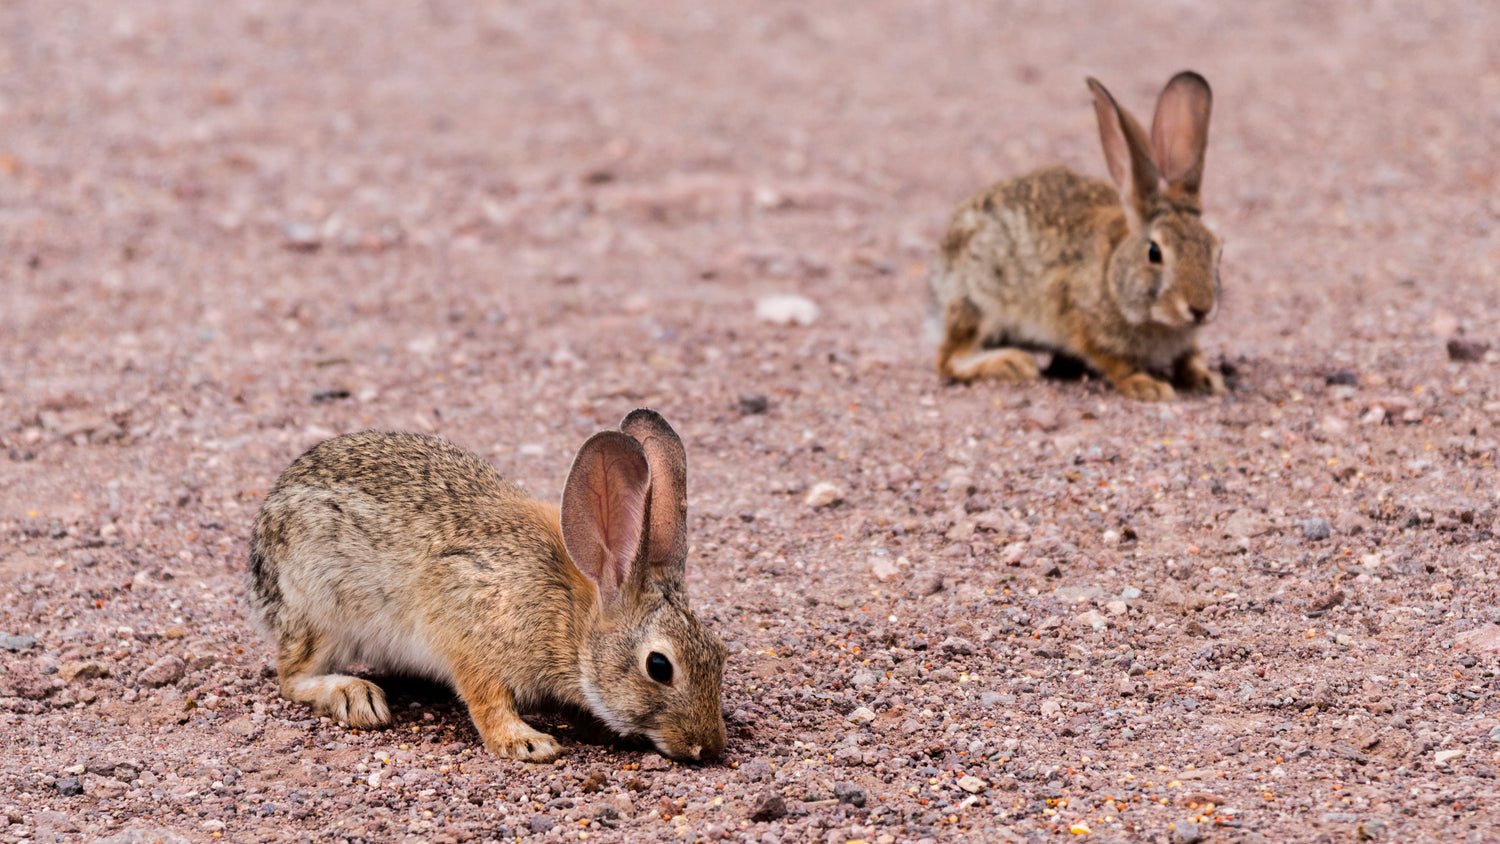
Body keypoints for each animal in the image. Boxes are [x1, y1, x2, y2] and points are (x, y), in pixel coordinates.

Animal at [246, 410, 726, 767]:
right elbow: (487, 700)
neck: (572, 618)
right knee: (292, 677)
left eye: (720, 654)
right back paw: (354, 695)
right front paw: (526, 742)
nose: (709, 748)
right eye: (659, 666)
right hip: (320, 608)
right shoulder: (468, 631)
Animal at [930, 70, 1224, 401]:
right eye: (1154, 252)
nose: (1200, 309)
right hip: (978, 305)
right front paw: (1148, 386)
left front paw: (1207, 379)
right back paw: (1012, 362)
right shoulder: (1083, 323)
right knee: (948, 360)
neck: (1112, 274)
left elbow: (1189, 357)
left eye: (1216, 249)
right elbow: (1117, 362)